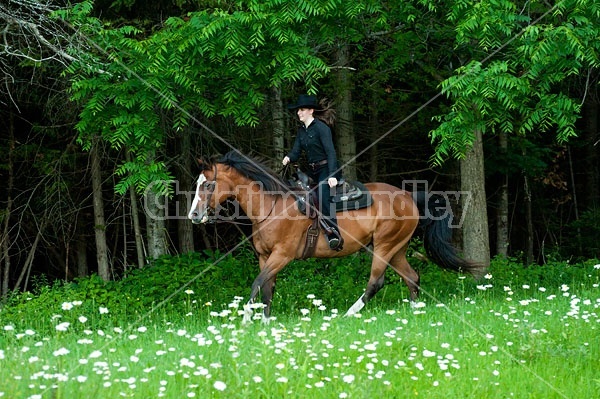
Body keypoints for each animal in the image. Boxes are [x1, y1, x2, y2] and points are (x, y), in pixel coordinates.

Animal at [190, 150, 486, 322]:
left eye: (208, 185)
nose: (194, 215)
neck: (272, 205)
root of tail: (410, 197)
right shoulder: (265, 257)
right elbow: (267, 289)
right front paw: (263, 323)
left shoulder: (282, 256)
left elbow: (257, 284)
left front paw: (245, 321)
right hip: (397, 248)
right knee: (412, 277)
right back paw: (414, 313)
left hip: (384, 246)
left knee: (376, 282)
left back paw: (348, 314)